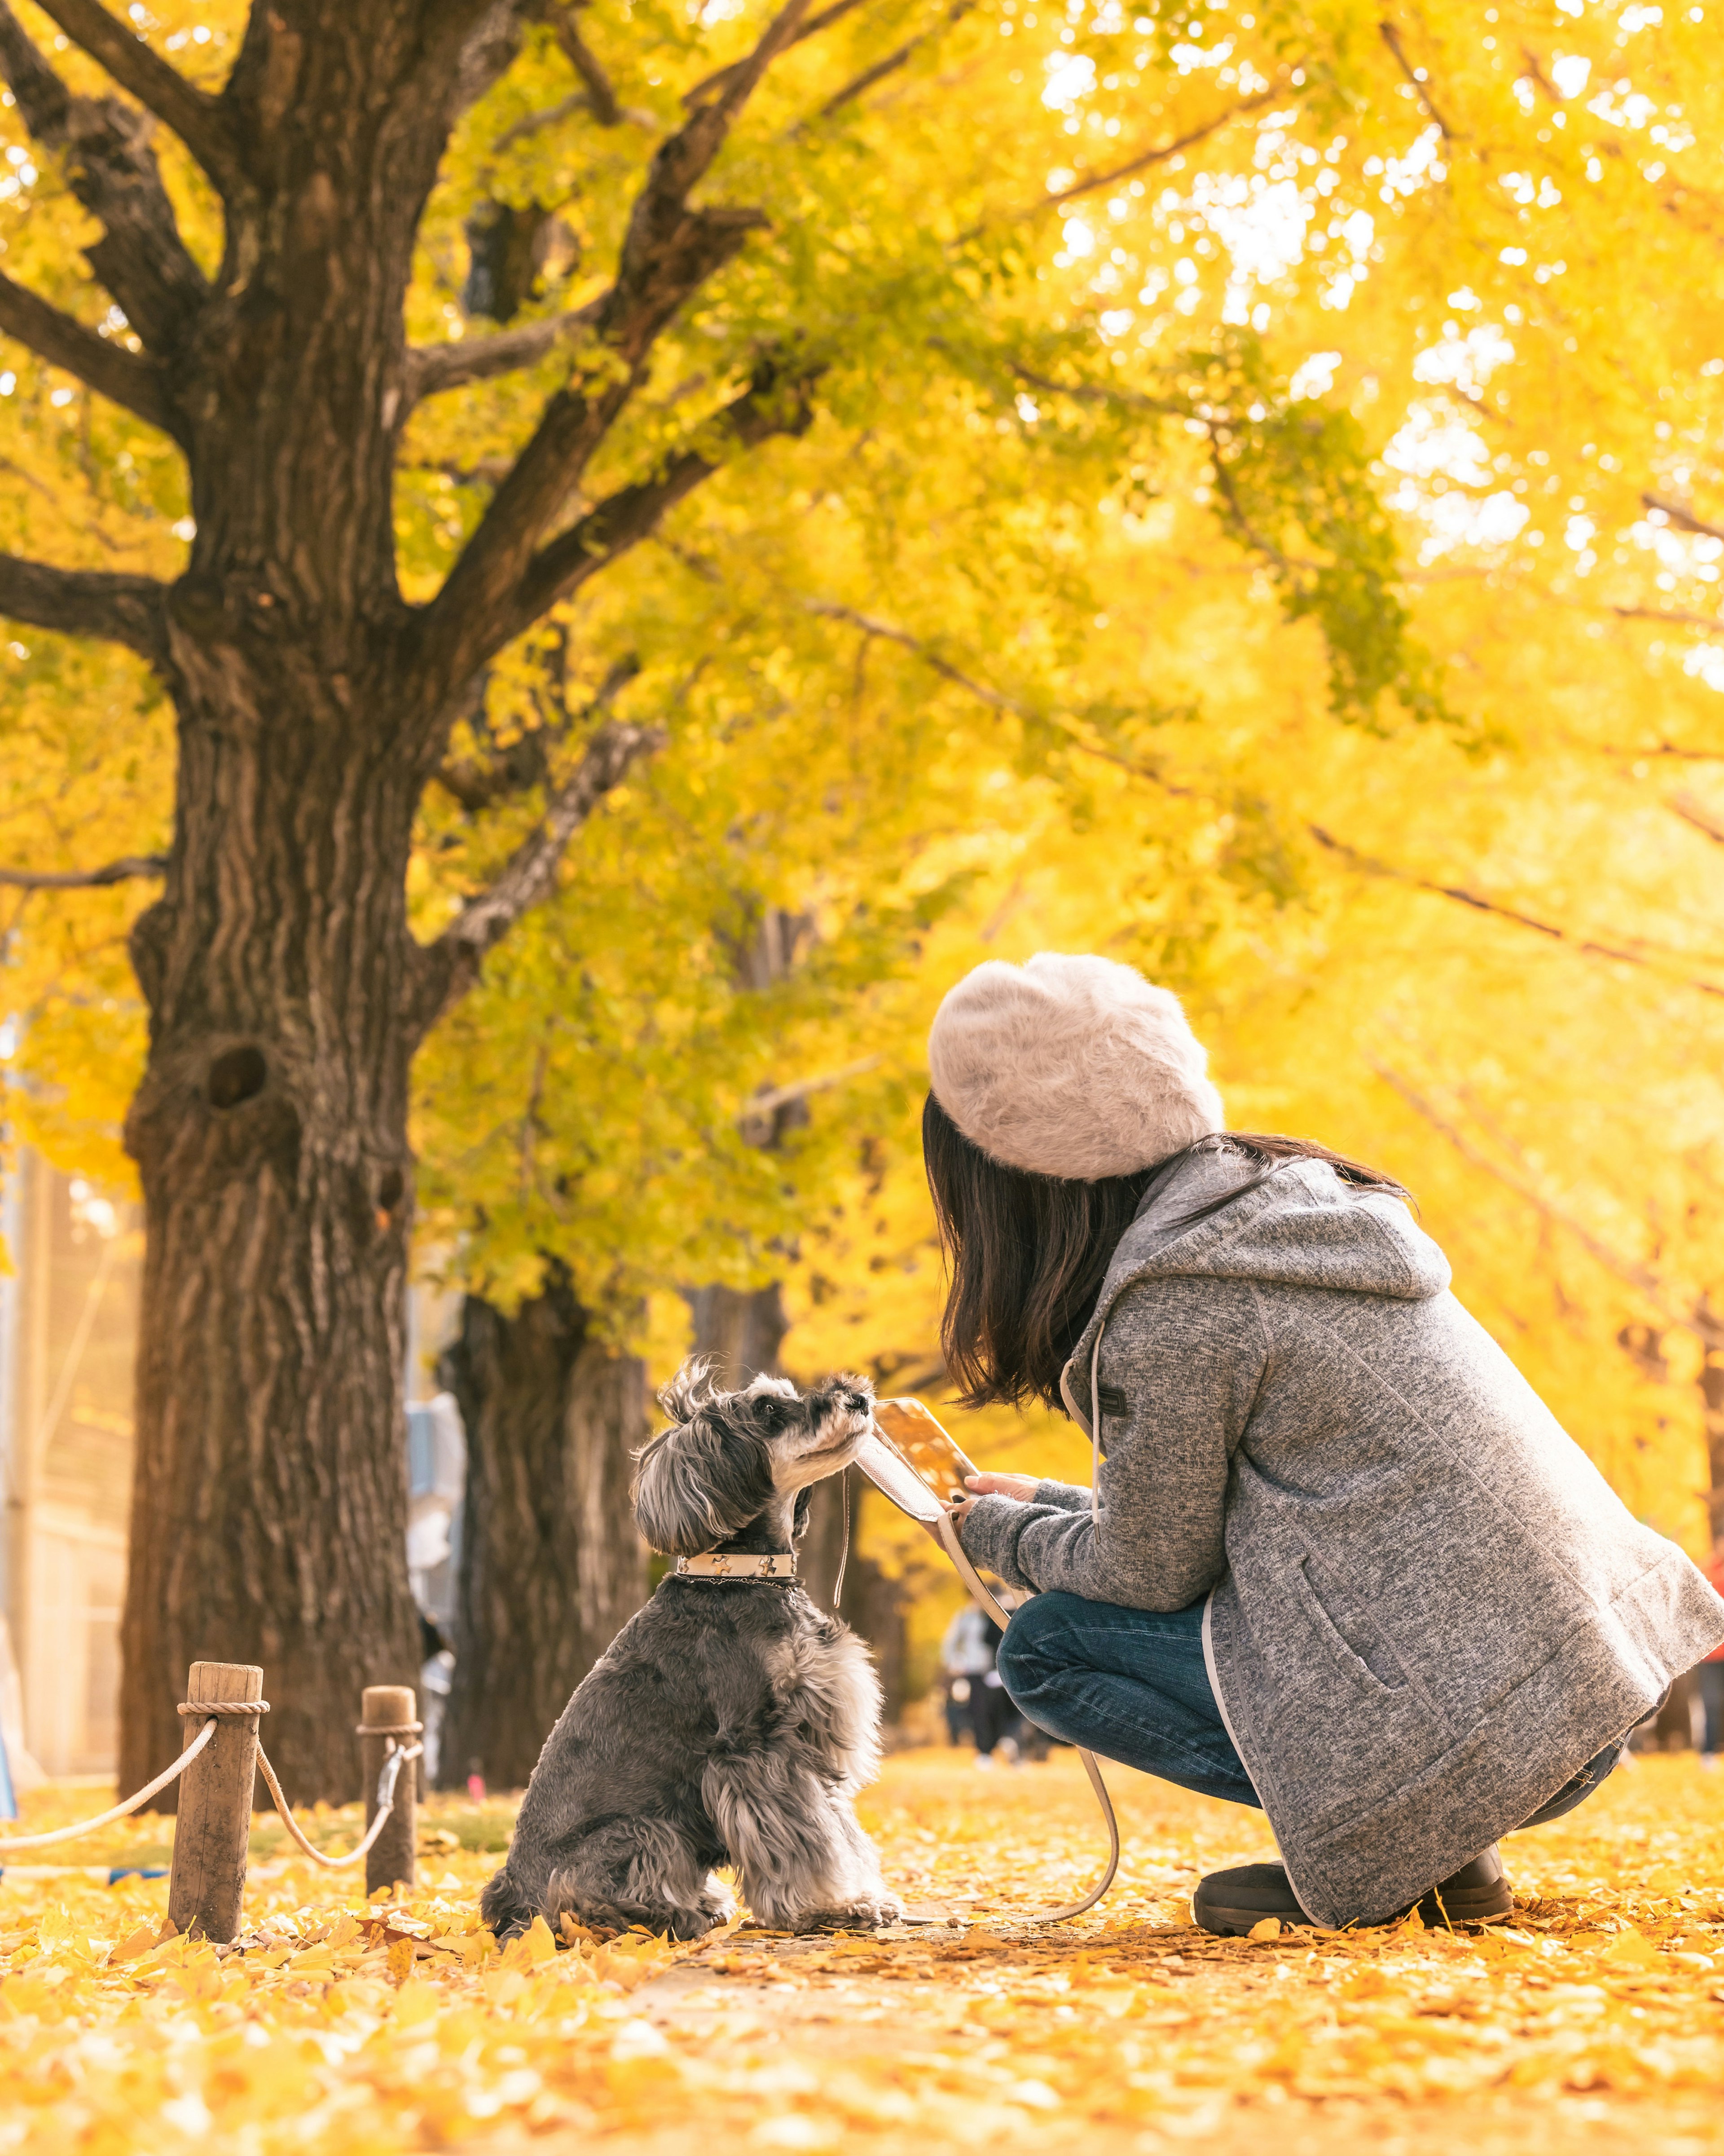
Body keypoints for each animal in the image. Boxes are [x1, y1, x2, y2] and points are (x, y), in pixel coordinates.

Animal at [474, 1362, 901, 1940]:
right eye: (769, 1409)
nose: (857, 1396)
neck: (740, 1576)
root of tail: (511, 1905)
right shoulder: (759, 1748)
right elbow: (805, 1837)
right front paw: (830, 1907)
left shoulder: (811, 1736)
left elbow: (839, 1826)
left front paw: (863, 1895)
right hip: (638, 1832)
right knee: (586, 1906)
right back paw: (674, 1913)